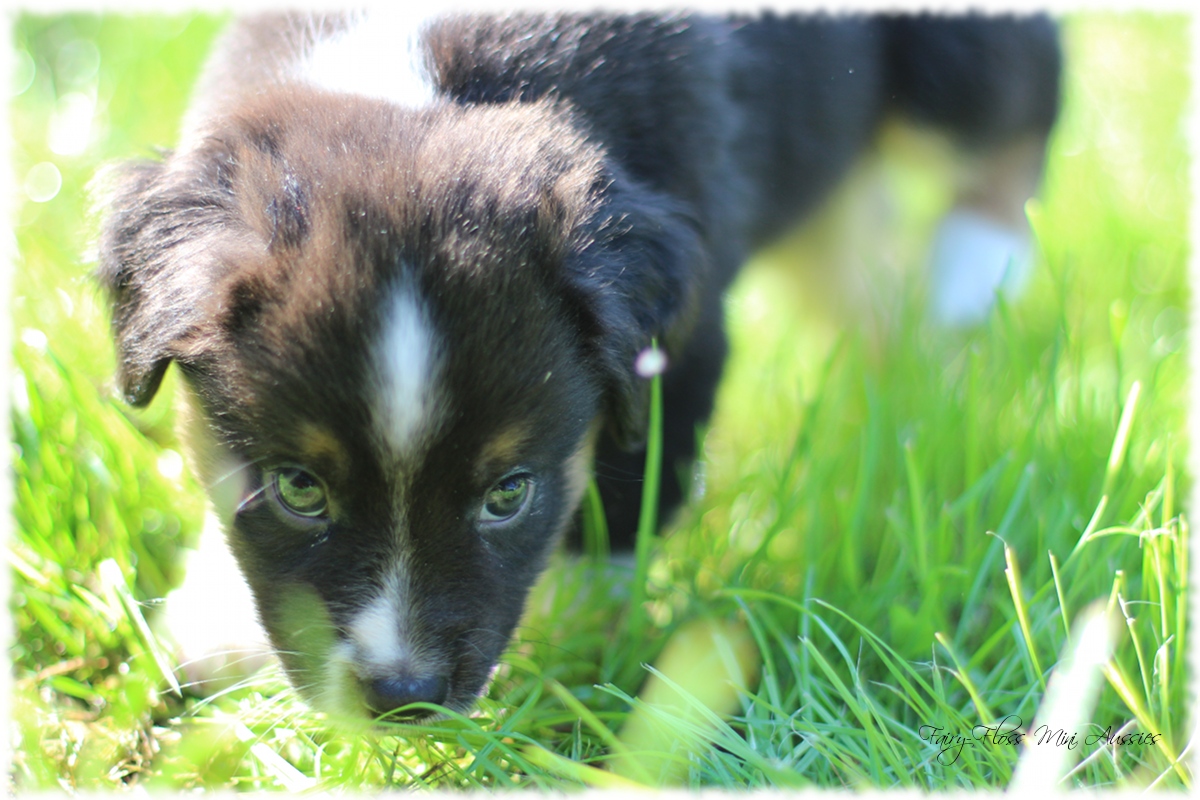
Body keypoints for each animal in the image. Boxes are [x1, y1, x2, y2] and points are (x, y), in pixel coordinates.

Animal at [100, 9, 1060, 714]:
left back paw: (973, 270)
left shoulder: (679, 338)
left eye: (507, 494)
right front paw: (216, 630)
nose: (405, 697)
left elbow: (624, 493)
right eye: (300, 489)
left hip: (948, 64)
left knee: (1020, 97)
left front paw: (571, 656)